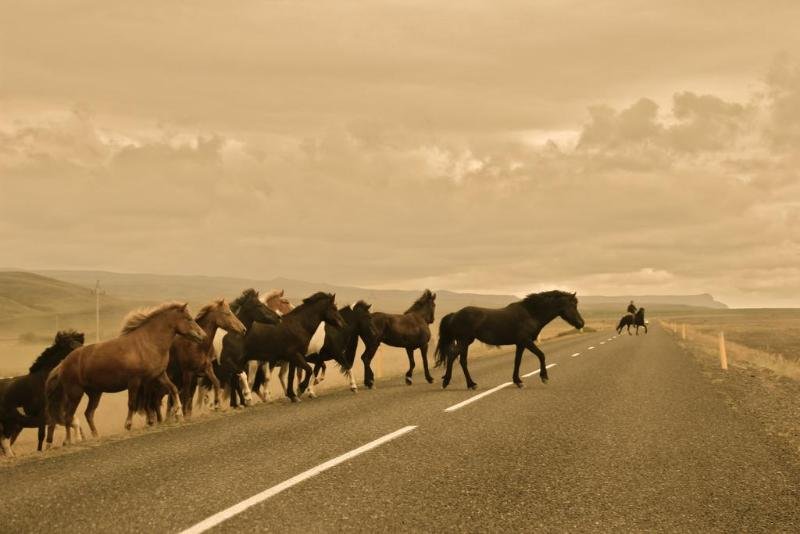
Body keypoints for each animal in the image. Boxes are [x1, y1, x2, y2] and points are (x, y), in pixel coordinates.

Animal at [434, 294, 584, 390]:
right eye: (573, 306)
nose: (581, 323)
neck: (530, 313)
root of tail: (455, 315)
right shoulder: (526, 341)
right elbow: (541, 355)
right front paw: (544, 377)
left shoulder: (520, 344)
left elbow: (517, 361)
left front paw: (518, 381)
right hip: (464, 341)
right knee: (458, 358)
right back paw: (466, 384)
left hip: (466, 341)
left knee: (456, 358)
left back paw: (455, 382)